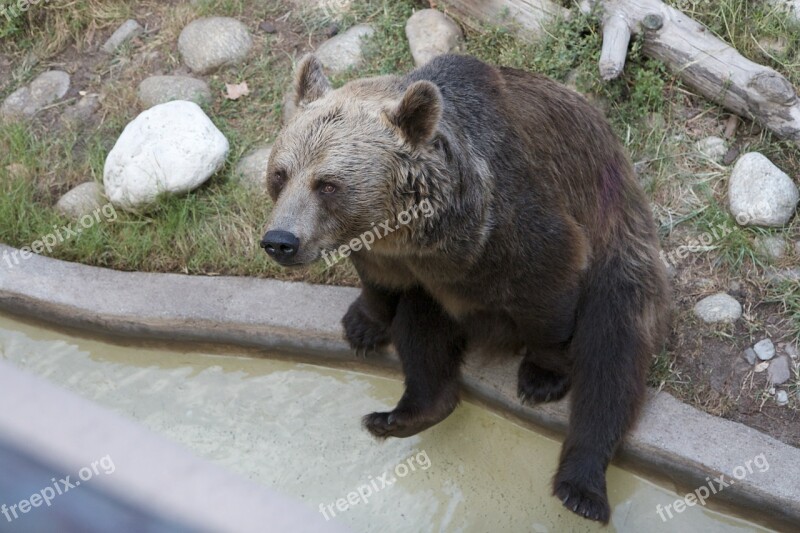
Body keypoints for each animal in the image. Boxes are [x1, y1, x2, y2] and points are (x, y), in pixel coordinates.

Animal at [260, 52, 668, 520]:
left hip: (619, 254)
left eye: (327, 184)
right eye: (280, 174)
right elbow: (382, 285)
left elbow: (550, 287)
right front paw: (362, 325)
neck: (421, 234)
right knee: (422, 332)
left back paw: (581, 489)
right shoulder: (394, 256)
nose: (280, 241)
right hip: (440, 298)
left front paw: (543, 374)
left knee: (611, 358)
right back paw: (401, 415)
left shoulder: (515, 224)